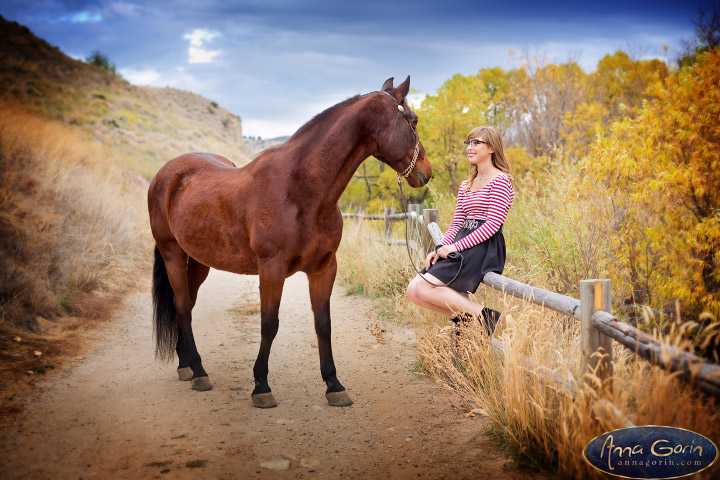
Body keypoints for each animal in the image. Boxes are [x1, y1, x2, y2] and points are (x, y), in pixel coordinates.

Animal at [146, 76, 428, 408]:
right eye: (413, 121)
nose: (426, 172)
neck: (300, 190)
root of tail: (166, 175)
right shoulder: (272, 268)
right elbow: (269, 324)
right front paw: (261, 386)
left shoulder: (324, 268)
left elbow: (323, 324)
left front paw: (334, 385)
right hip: (173, 254)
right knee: (182, 306)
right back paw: (200, 371)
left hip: (200, 261)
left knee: (186, 305)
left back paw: (186, 365)